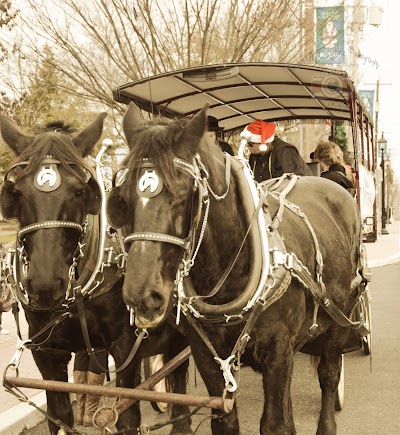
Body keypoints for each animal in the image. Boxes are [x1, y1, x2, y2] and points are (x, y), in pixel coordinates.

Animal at [0, 114, 191, 434]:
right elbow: (60, 417)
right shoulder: (46, 352)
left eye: (79, 192)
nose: (45, 284)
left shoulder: (126, 347)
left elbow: (128, 417)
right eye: (16, 193)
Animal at [107, 103, 368, 435]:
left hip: (338, 319)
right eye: (122, 199)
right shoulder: (209, 357)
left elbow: (274, 424)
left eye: (182, 192)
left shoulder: (278, 352)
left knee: (329, 375)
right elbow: (227, 421)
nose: (141, 295)